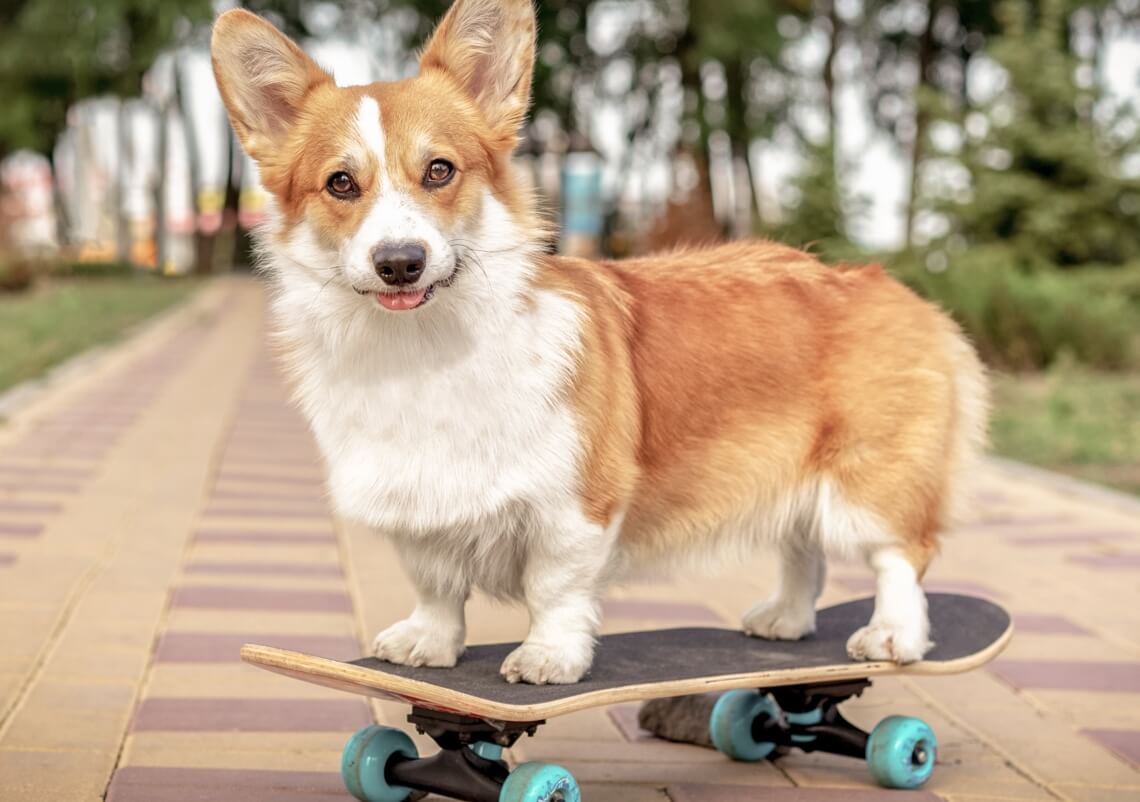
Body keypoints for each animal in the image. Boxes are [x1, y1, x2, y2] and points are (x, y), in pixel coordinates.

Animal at [212, 0, 989, 683]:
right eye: (341, 184)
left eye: (439, 170)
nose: (400, 261)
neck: (423, 348)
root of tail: (897, 289)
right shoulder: (419, 508)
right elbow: (435, 584)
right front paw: (428, 643)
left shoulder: (573, 506)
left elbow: (553, 589)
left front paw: (548, 658)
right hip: (792, 480)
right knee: (805, 551)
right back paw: (786, 620)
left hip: (868, 483)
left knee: (900, 554)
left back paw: (892, 634)